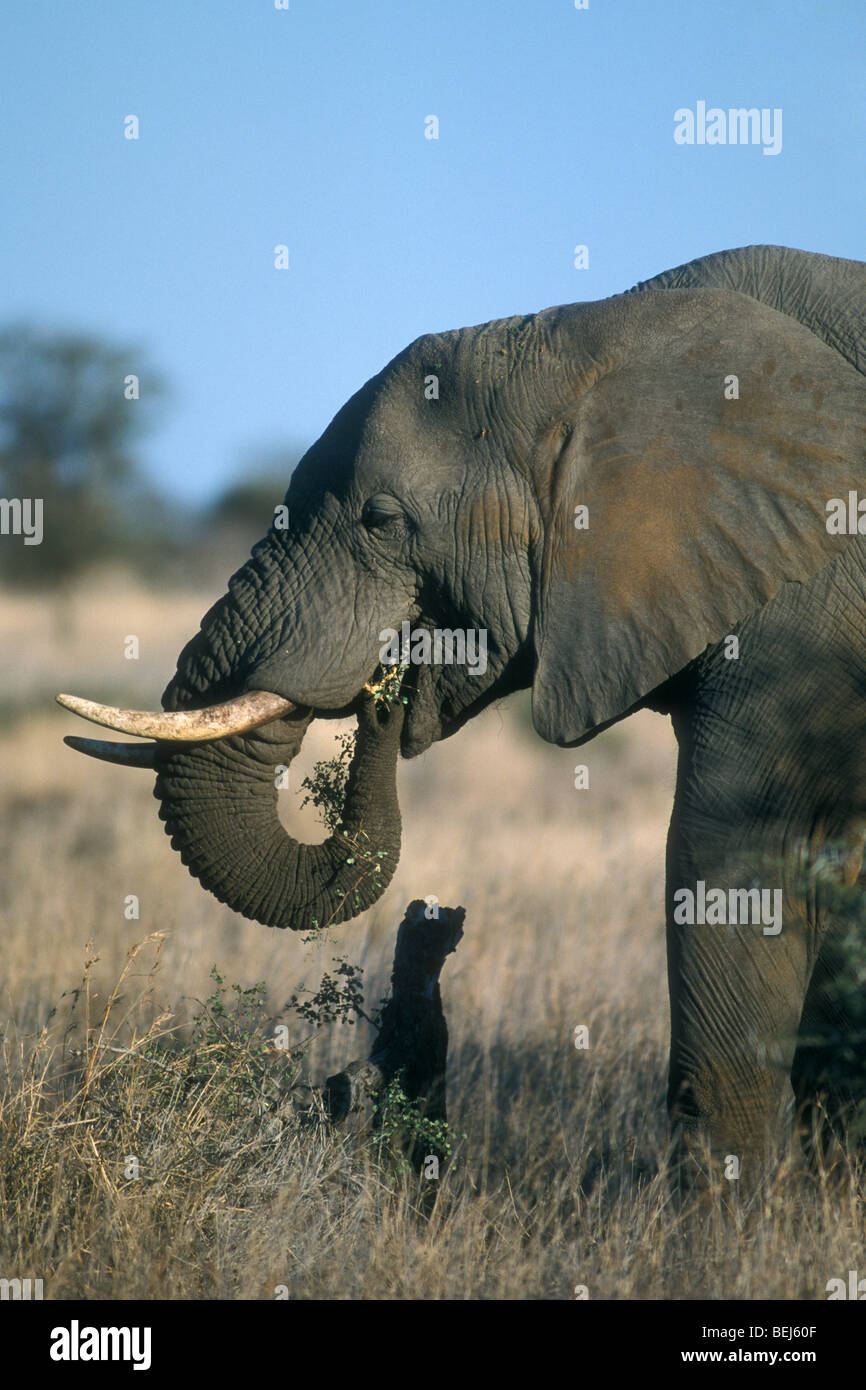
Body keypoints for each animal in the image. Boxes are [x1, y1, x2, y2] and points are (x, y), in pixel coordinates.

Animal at [61, 244, 866, 1178]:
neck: (596, 333)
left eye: (380, 519)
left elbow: (729, 856)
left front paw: (728, 1211)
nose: (386, 686)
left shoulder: (801, 613)